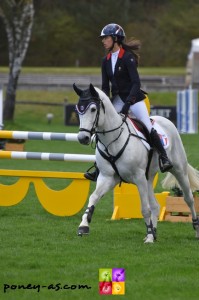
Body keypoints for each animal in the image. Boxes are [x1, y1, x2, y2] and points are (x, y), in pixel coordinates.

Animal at [73, 83, 199, 243]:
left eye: (93, 109)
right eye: (78, 110)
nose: (82, 138)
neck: (113, 140)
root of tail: (166, 121)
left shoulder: (138, 178)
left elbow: (144, 208)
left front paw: (149, 237)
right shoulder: (108, 177)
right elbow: (93, 197)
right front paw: (83, 226)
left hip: (178, 170)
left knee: (188, 198)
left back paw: (195, 228)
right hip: (148, 178)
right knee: (155, 205)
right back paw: (154, 232)